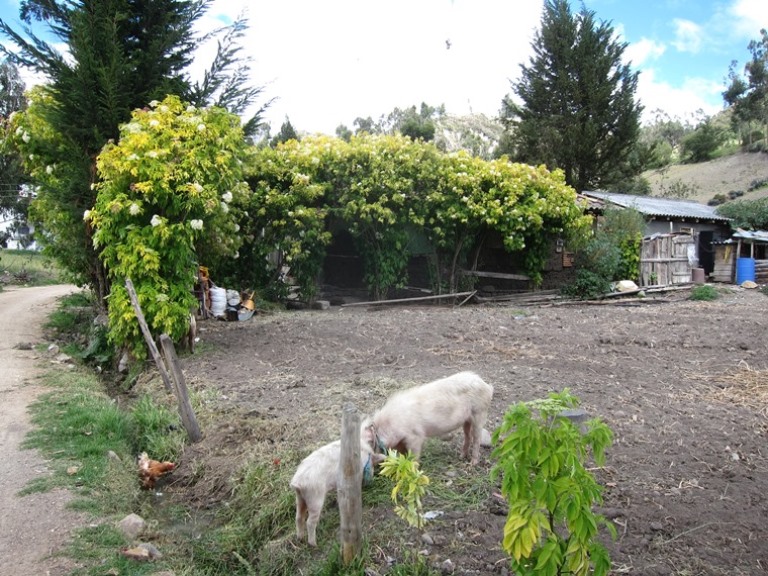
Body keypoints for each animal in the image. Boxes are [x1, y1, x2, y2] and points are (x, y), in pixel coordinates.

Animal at [364, 372, 492, 466]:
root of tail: (487, 386)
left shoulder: (415, 436)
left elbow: (414, 454)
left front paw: (412, 468)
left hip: (480, 412)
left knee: (477, 438)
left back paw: (473, 463)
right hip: (467, 419)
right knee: (467, 436)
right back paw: (461, 457)